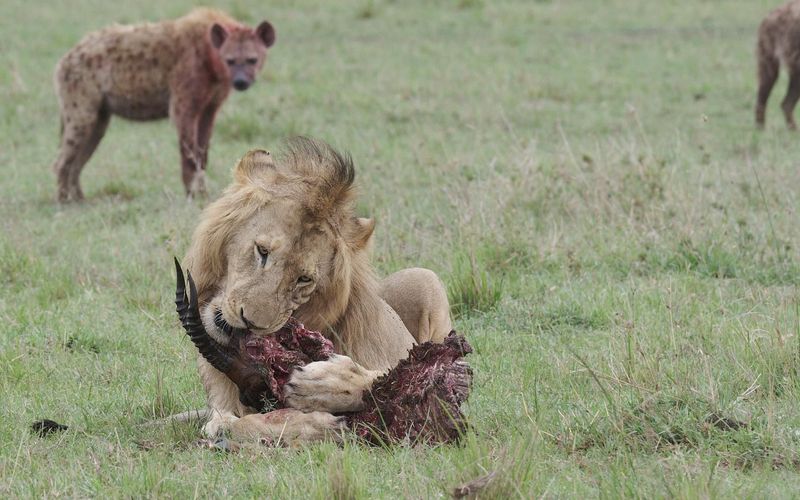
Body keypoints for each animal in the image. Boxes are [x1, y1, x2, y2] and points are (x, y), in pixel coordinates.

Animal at [184, 138, 454, 442]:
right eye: (262, 251)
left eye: (304, 279)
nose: (250, 323)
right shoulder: (222, 403)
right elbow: (230, 423)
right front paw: (312, 424)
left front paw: (324, 386)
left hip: (425, 278)